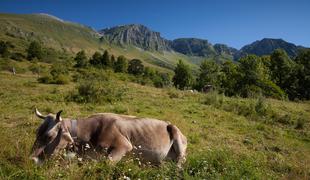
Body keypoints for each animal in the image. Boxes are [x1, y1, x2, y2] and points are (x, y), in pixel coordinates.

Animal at [30, 107, 188, 167]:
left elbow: (106, 163)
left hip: (176, 135)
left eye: (49, 136)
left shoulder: (124, 145)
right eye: (36, 132)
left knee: (180, 162)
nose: (32, 159)